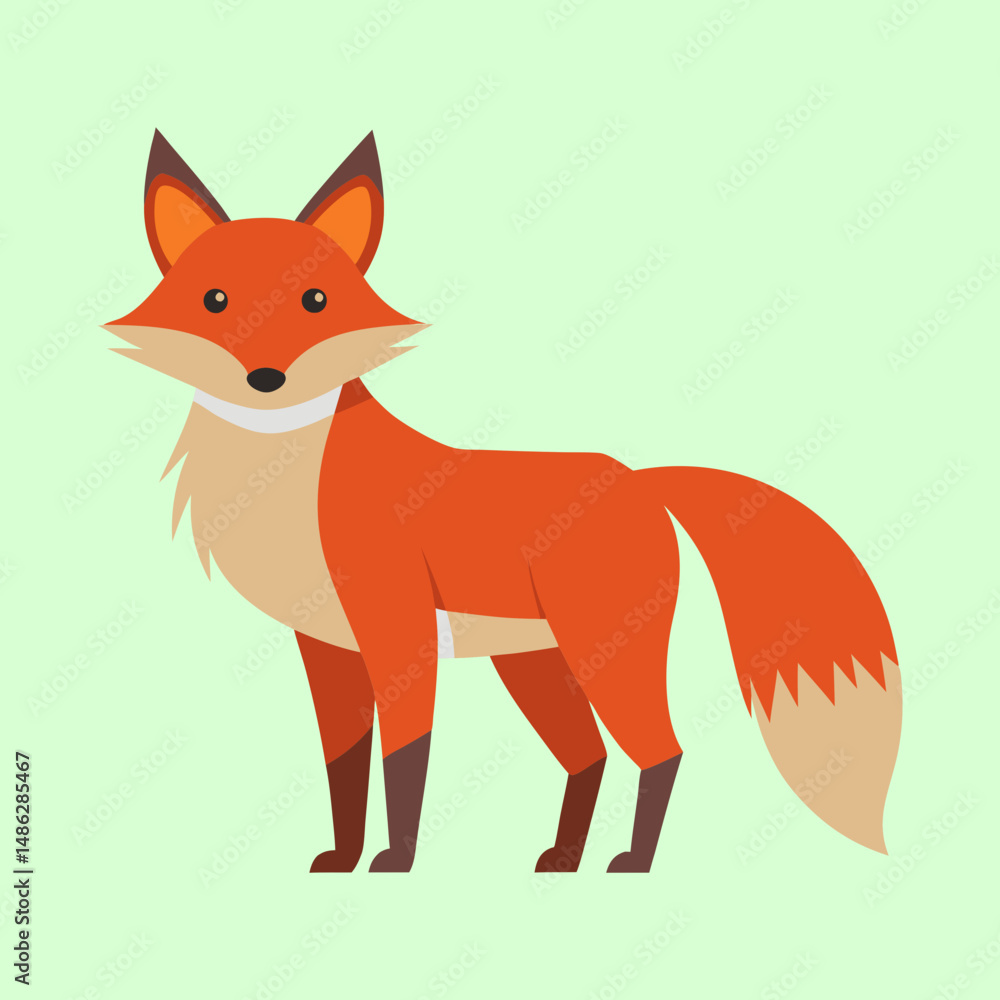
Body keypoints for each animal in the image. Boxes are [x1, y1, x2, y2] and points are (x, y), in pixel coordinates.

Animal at [106, 130, 902, 874]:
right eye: (215, 300)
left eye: (315, 301)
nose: (266, 378)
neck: (284, 485)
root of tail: (637, 476)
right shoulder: (327, 648)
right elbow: (343, 767)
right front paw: (342, 858)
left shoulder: (398, 634)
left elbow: (405, 757)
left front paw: (395, 862)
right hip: (538, 664)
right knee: (590, 756)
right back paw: (564, 858)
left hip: (604, 652)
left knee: (662, 751)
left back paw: (633, 863)